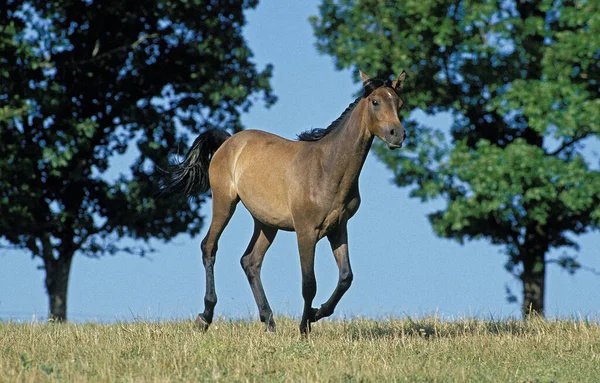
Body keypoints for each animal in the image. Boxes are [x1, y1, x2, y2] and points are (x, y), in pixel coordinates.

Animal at [163, 70, 408, 334]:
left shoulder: (338, 228)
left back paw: (269, 322)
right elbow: (309, 283)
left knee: (250, 261)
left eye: (399, 103)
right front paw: (305, 327)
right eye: (375, 101)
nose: (397, 134)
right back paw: (205, 317)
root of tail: (228, 142)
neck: (327, 169)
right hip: (224, 203)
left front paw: (317, 313)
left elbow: (346, 277)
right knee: (209, 247)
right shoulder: (306, 231)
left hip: (265, 222)